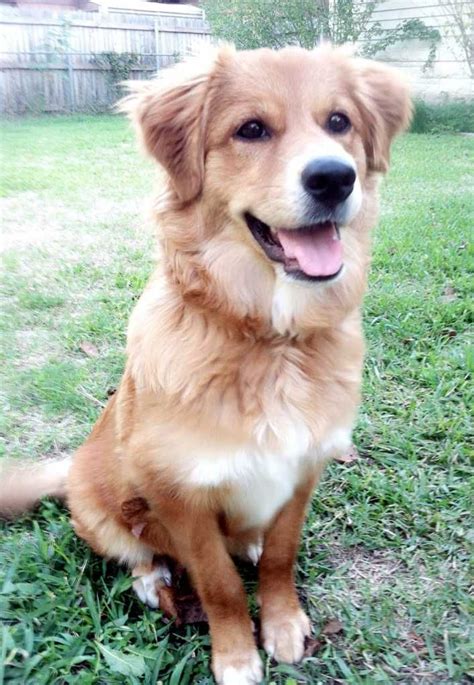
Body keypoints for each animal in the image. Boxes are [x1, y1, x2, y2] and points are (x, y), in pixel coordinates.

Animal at [0, 44, 410, 684]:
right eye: (251, 129)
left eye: (339, 122)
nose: (334, 177)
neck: (270, 340)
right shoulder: (180, 495)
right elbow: (217, 583)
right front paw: (237, 655)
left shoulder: (305, 466)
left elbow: (282, 555)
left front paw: (282, 621)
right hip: (99, 510)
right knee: (137, 551)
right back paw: (152, 579)